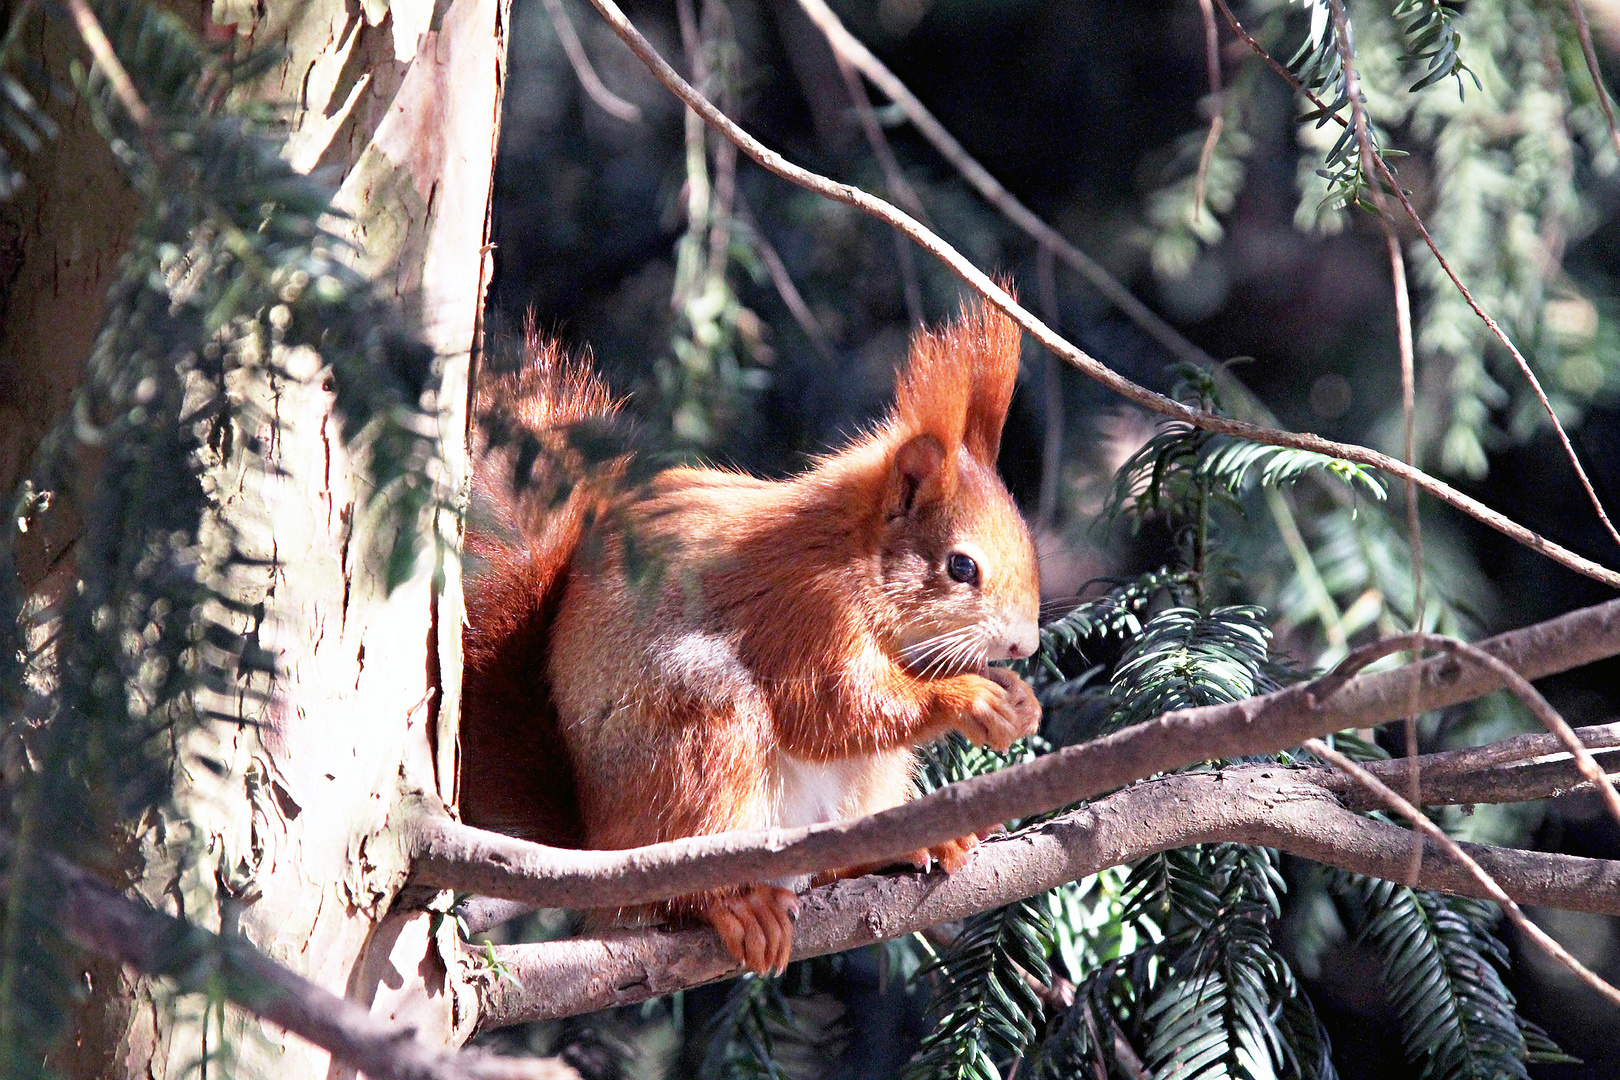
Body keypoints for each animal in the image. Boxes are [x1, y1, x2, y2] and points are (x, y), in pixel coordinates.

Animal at [460, 299, 1036, 977]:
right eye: (961, 567)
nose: (1026, 645)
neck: (848, 547)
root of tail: (598, 841)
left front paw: (1019, 698)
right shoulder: (807, 612)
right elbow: (833, 709)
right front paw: (972, 697)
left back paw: (899, 847)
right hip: (703, 738)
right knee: (682, 891)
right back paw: (737, 904)